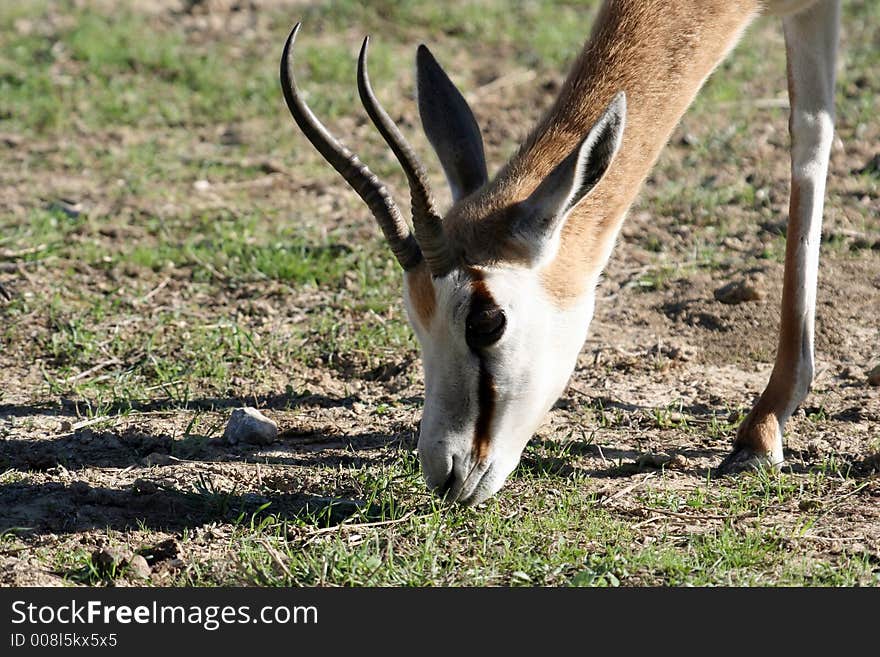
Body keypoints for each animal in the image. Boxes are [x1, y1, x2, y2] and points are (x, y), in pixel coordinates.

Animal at [282, 0, 844, 502]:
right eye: (416, 322)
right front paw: (765, 429)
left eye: (486, 321)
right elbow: (811, 134)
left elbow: (809, 139)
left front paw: (760, 434)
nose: (445, 473)